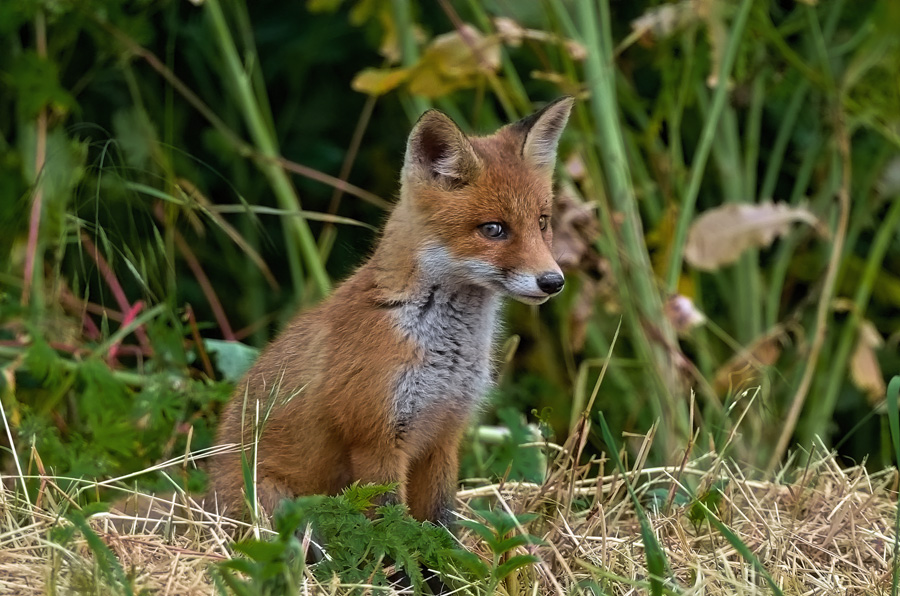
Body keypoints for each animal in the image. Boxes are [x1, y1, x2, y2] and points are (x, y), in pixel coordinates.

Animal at [208, 96, 572, 528]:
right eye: (494, 229)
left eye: (542, 222)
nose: (553, 282)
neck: (443, 353)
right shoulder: (376, 442)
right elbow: (392, 525)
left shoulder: (444, 435)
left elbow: (441, 520)